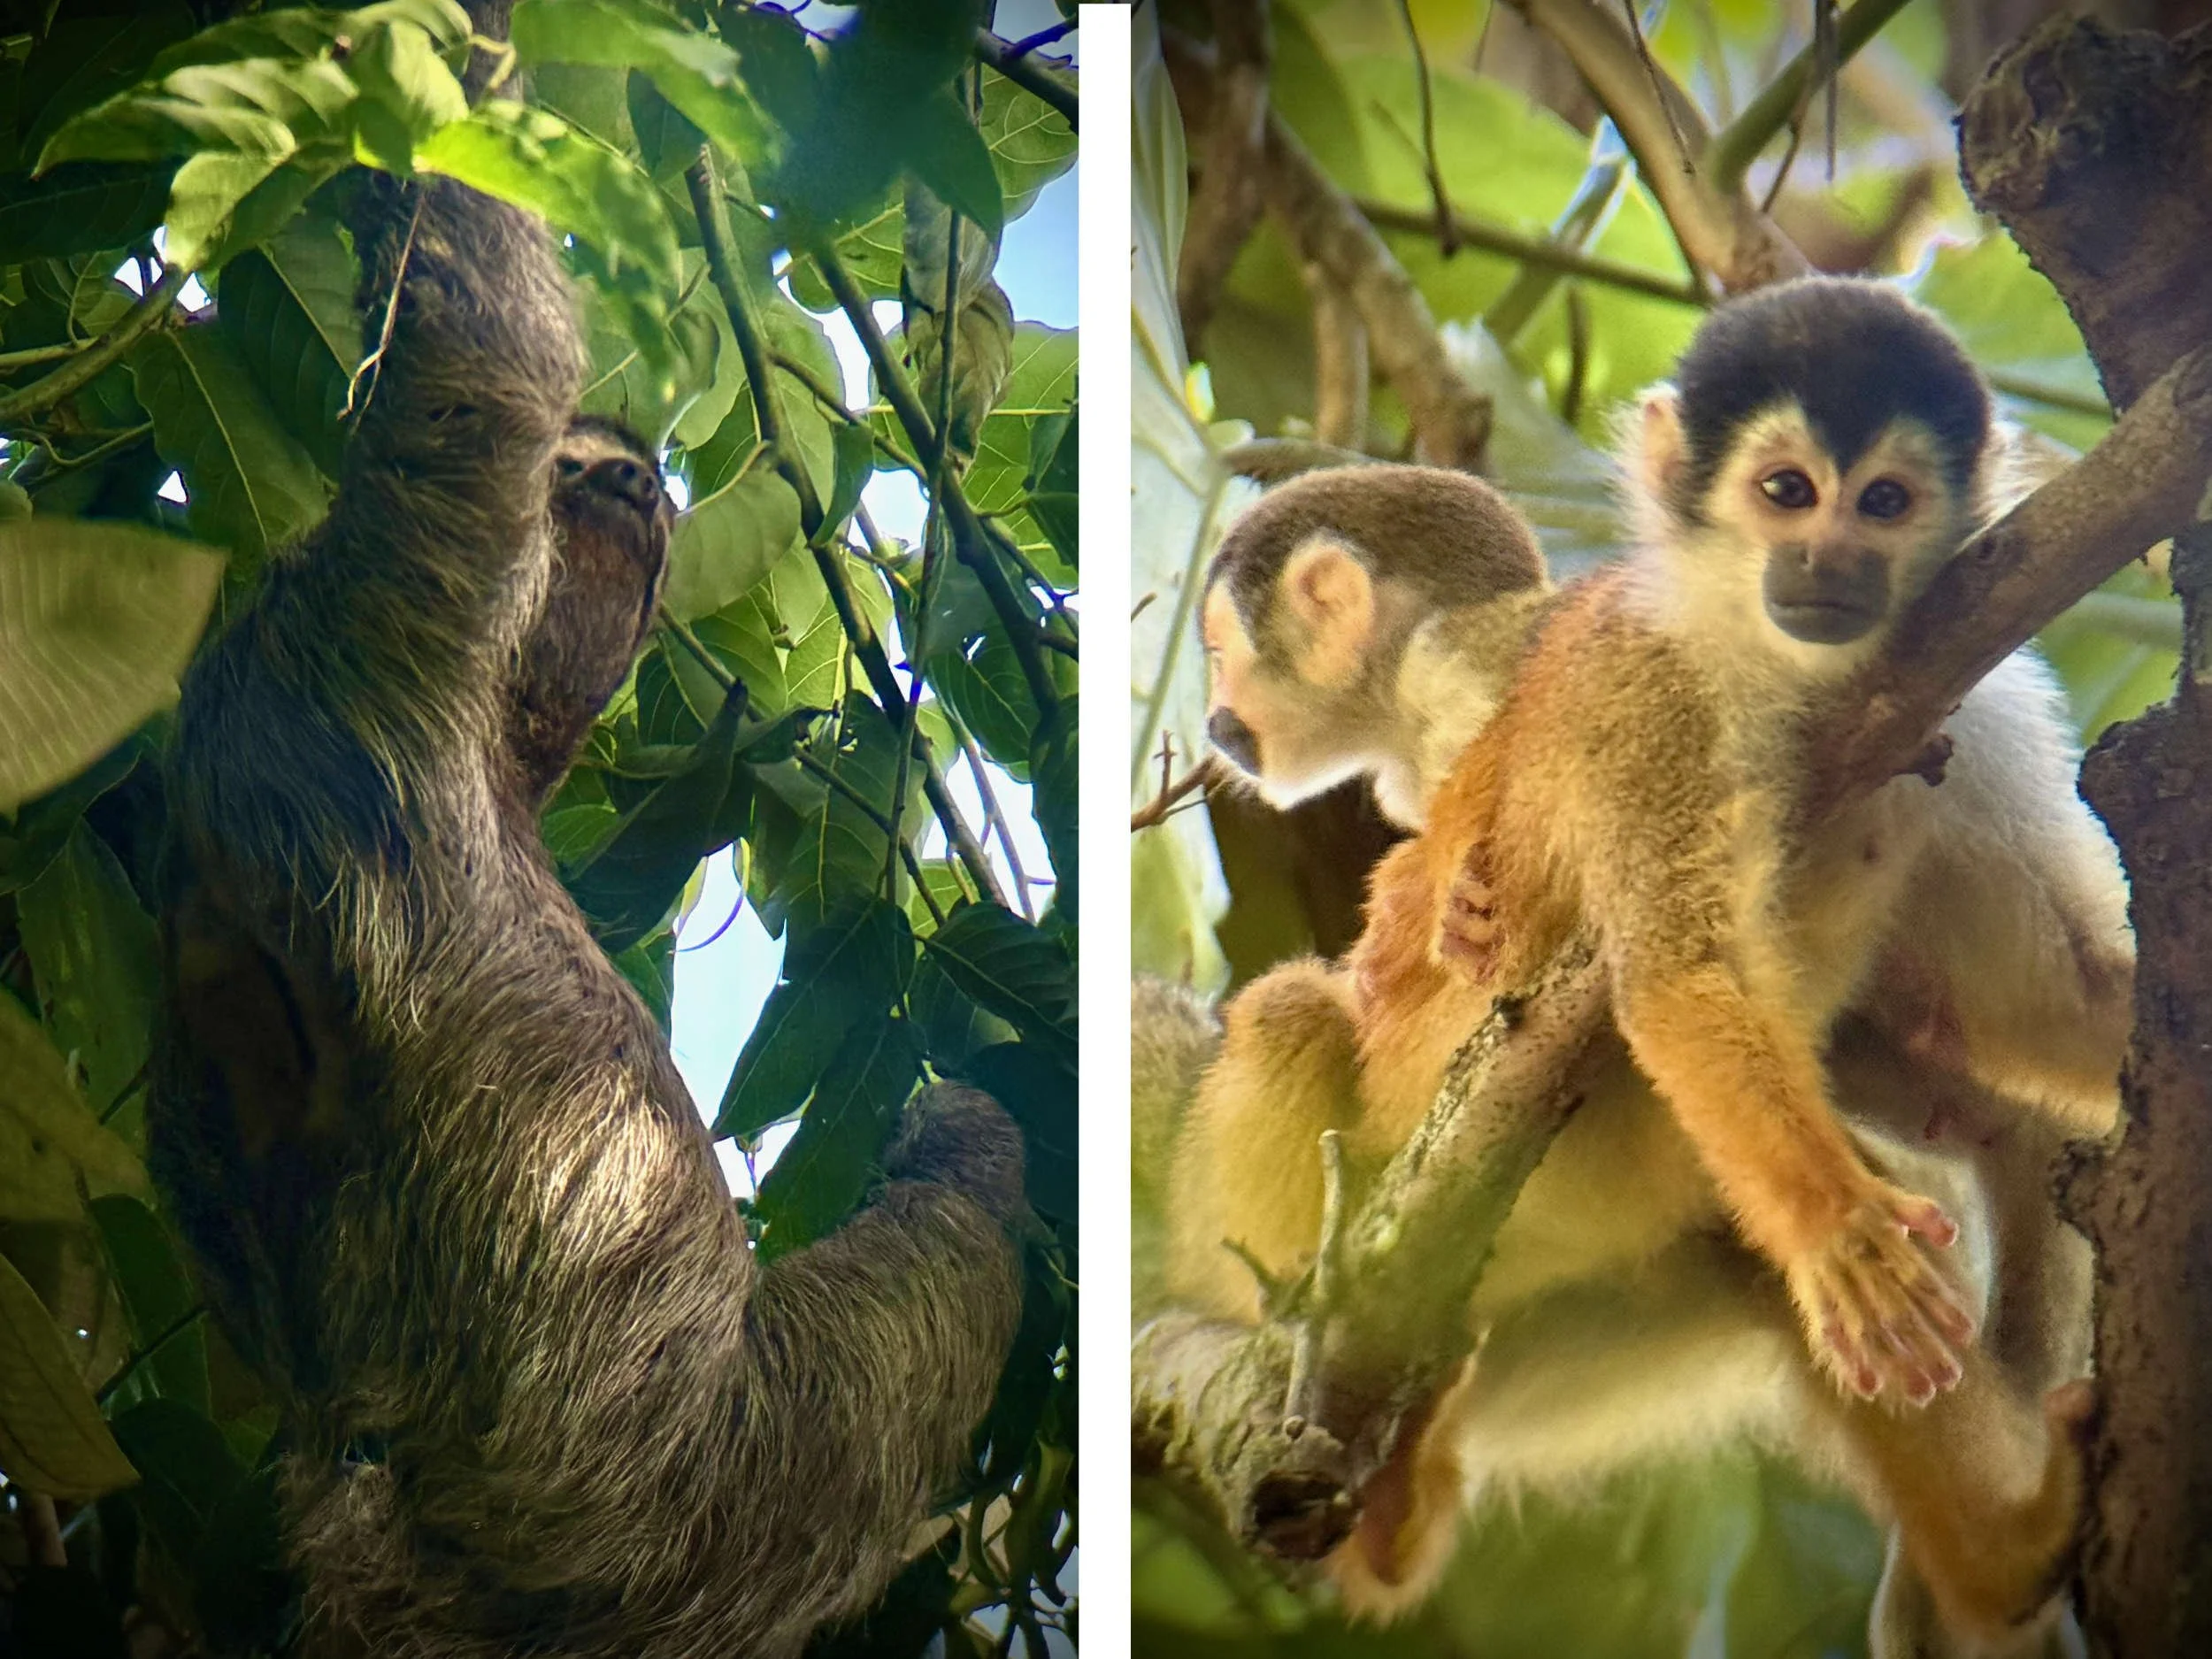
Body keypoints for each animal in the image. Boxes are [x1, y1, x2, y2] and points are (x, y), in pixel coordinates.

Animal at [145, 17, 1027, 1656]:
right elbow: (489, 351)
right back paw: (963, 1141)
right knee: (911, 1310)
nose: (628, 478)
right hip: (678, 1478)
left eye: (645, 491)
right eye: (581, 472)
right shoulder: (397, 609)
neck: (502, 763)